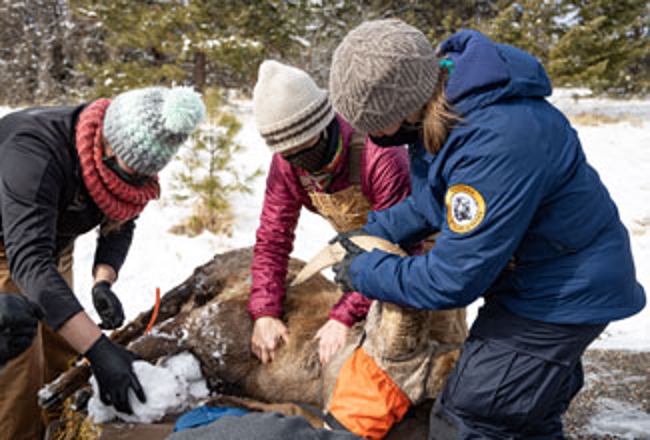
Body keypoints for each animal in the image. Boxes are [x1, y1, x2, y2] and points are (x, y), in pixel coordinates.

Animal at [41, 239, 466, 438]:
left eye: (406, 405)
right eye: (365, 358)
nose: (348, 426)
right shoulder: (190, 330)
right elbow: (131, 351)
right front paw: (66, 395)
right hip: (191, 289)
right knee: (138, 324)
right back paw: (53, 392)